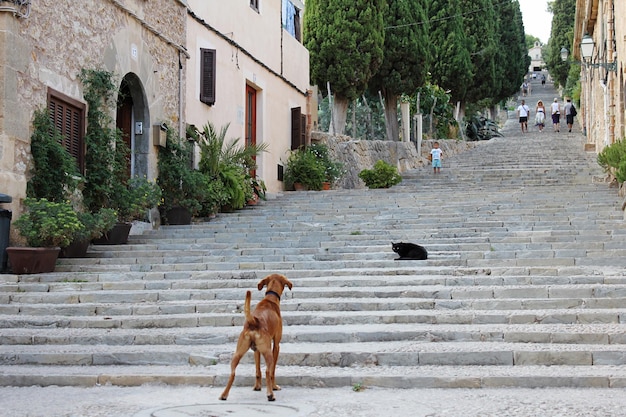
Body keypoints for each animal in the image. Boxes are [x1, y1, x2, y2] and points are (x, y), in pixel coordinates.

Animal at [219, 272, 292, 400]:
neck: (270, 299)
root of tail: (253, 321)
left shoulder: (256, 350)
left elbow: (258, 370)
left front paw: (257, 387)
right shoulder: (276, 345)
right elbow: (272, 371)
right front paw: (274, 387)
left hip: (237, 353)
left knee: (232, 373)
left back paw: (224, 394)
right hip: (268, 353)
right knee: (268, 371)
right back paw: (270, 394)